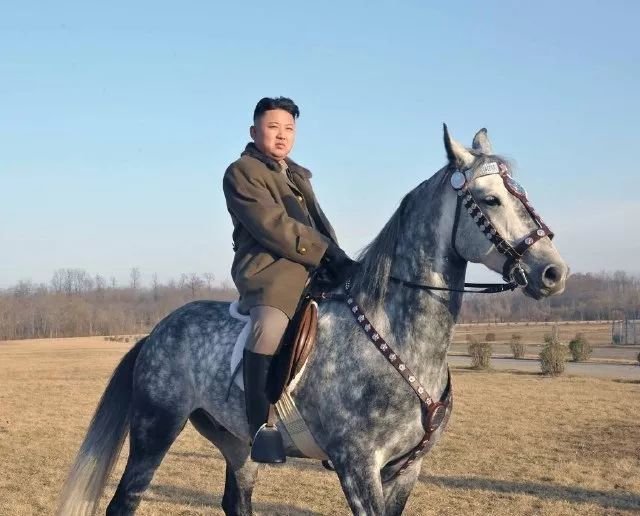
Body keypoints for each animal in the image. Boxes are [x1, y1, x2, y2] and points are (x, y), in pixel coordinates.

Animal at [57, 126, 568, 515]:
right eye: (491, 199)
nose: (553, 272)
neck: (398, 338)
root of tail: (156, 332)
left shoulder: (406, 469)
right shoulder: (357, 466)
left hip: (236, 442)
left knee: (236, 501)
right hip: (155, 430)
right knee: (124, 501)